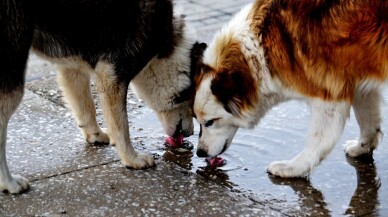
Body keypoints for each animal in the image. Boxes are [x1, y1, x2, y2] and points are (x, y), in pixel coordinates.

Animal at [0, 0, 206, 193]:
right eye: (191, 105)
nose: (190, 134)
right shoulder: (112, 72)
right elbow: (122, 127)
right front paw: (132, 159)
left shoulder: (72, 66)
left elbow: (86, 106)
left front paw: (95, 134)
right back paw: (9, 183)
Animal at [193, 0, 388, 177]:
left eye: (210, 122)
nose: (200, 153)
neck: (262, 47)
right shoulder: (359, 80)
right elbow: (368, 120)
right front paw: (362, 148)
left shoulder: (330, 94)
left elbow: (319, 140)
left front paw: (294, 168)